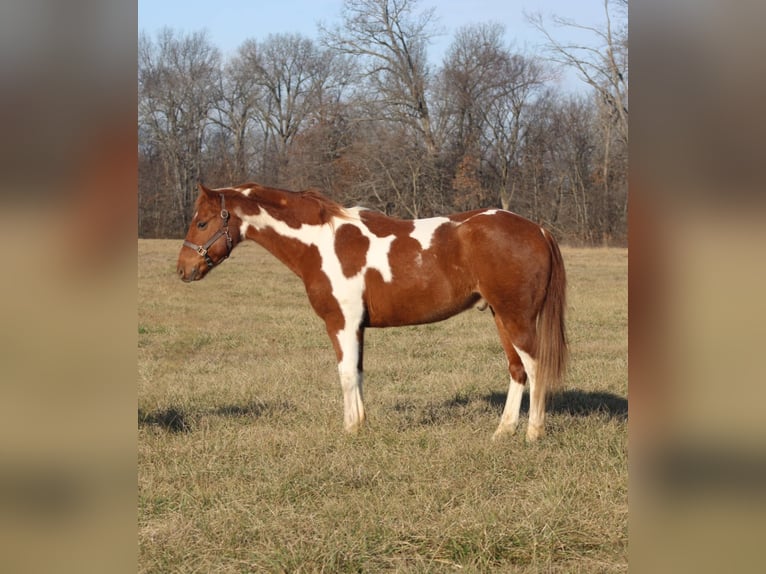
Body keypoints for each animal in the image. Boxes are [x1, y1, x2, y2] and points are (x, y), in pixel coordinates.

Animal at [177, 182, 568, 444]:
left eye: (202, 222)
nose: (183, 270)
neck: (321, 244)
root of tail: (537, 229)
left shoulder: (341, 323)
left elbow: (346, 374)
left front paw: (350, 428)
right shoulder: (357, 327)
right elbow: (359, 373)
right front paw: (362, 423)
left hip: (517, 319)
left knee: (535, 367)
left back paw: (533, 433)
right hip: (501, 317)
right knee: (517, 370)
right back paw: (503, 430)